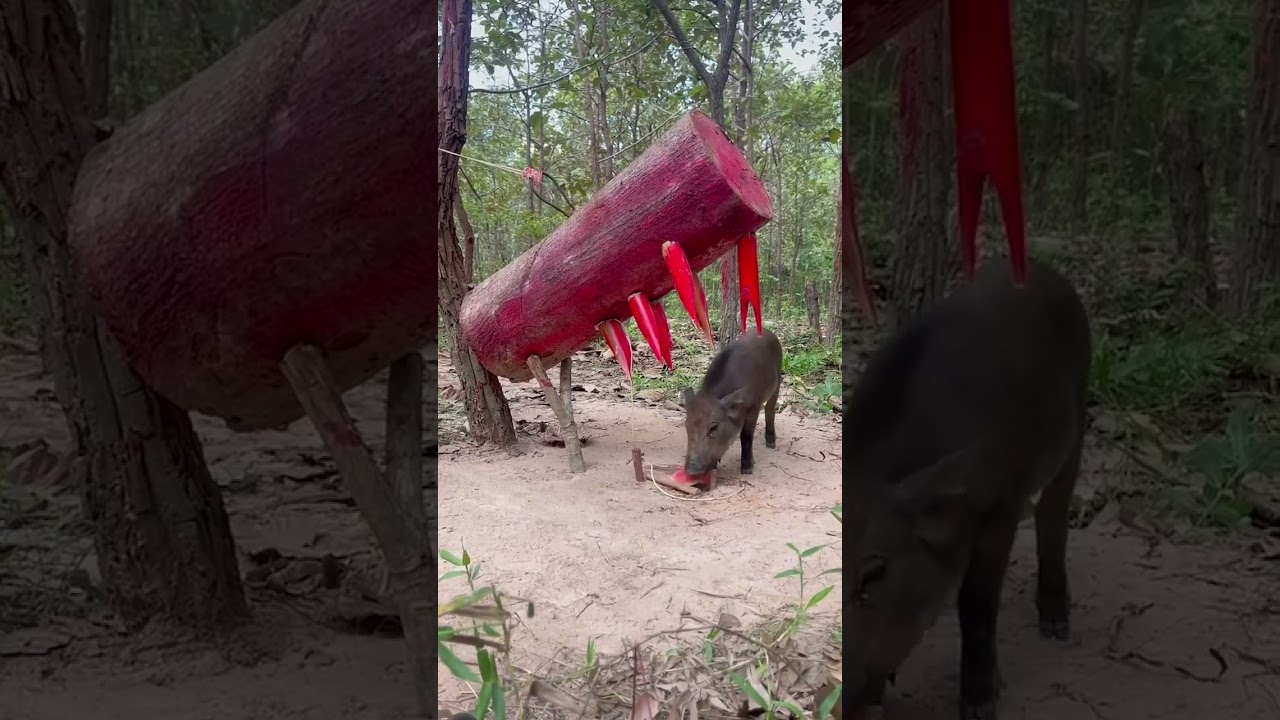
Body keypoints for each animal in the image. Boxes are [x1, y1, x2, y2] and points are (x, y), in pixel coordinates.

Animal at [680, 328, 783, 483]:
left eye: (713, 427)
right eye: (687, 426)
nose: (691, 471)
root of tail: (768, 331)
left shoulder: (754, 407)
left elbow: (745, 437)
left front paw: (747, 470)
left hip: (778, 380)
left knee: (770, 409)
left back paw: (771, 444)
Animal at [846, 258, 1091, 720]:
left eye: (875, 573)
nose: (842, 703)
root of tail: (1044, 268)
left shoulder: (1003, 505)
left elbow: (975, 602)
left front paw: (979, 705)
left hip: (1081, 413)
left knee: (1054, 510)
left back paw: (1055, 625)